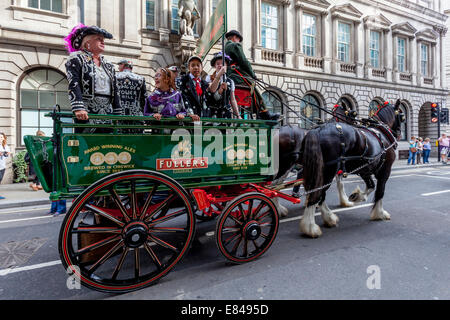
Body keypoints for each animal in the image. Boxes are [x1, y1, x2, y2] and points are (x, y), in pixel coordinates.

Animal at [298, 100, 406, 238]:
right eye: (402, 116)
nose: (399, 133)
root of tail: (318, 130)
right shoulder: (385, 171)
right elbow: (380, 192)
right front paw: (379, 213)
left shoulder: (365, 169)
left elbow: (371, 186)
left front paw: (356, 196)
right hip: (327, 171)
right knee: (317, 193)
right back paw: (312, 226)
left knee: (317, 193)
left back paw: (327, 218)